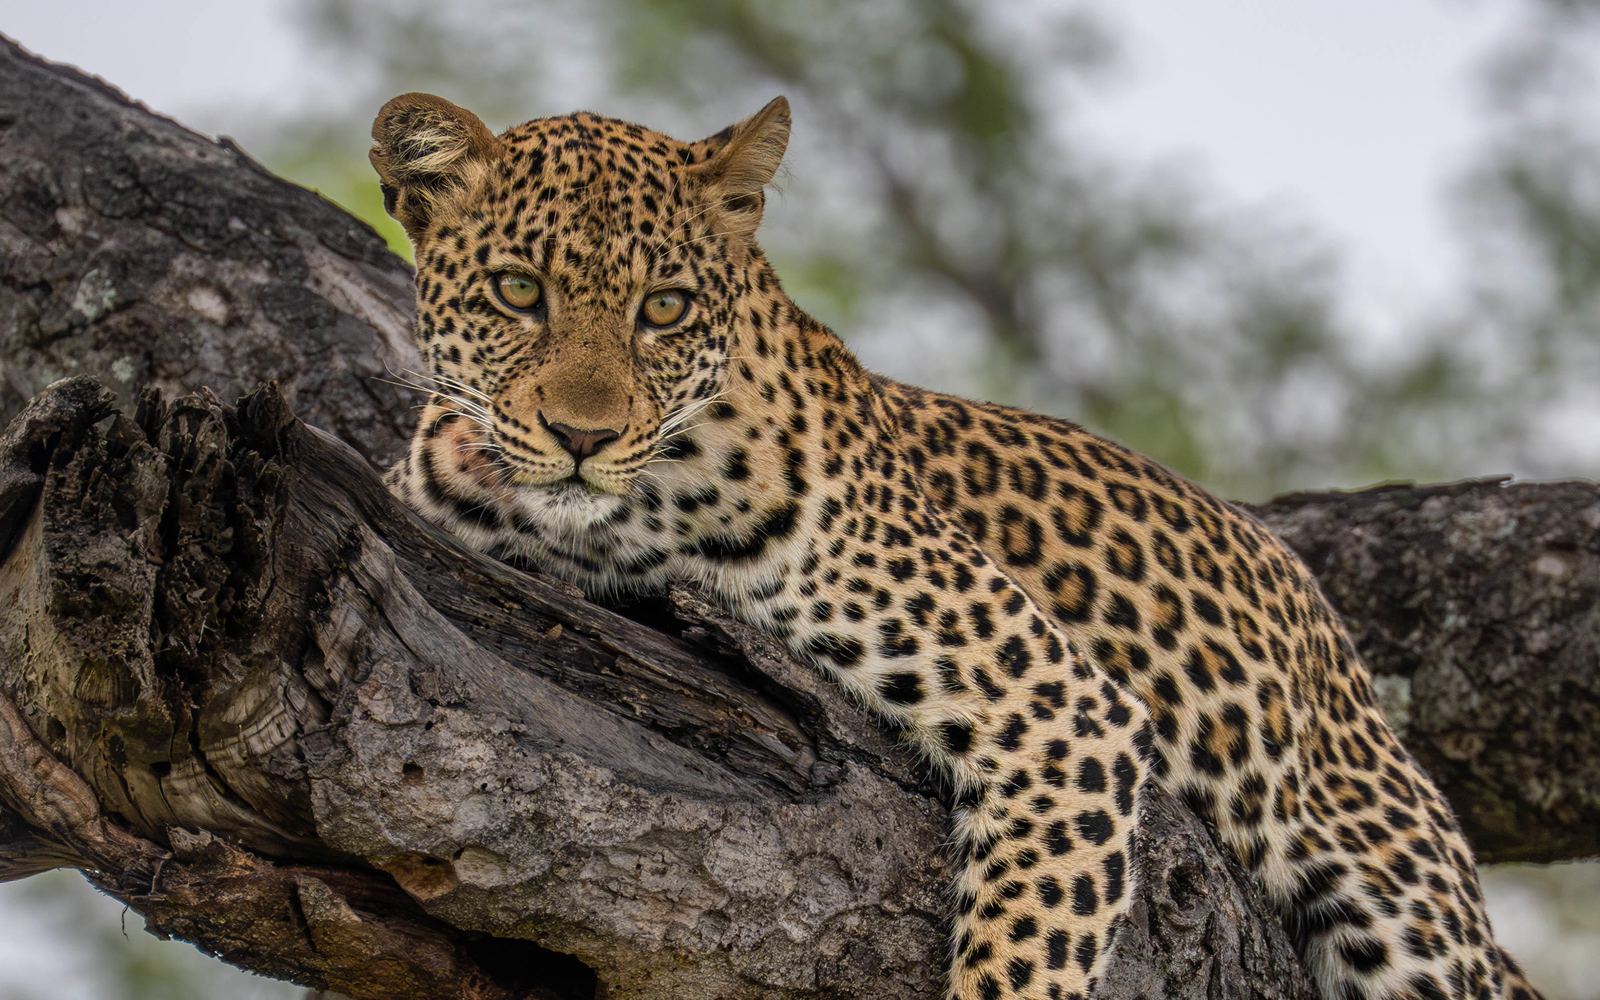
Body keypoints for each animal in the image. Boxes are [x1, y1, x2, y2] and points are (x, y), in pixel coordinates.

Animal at [370, 91, 1542, 1000]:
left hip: (1407, 906)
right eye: (519, 291)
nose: (584, 436)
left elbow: (1025, 948)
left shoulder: (1065, 711)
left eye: (663, 309)